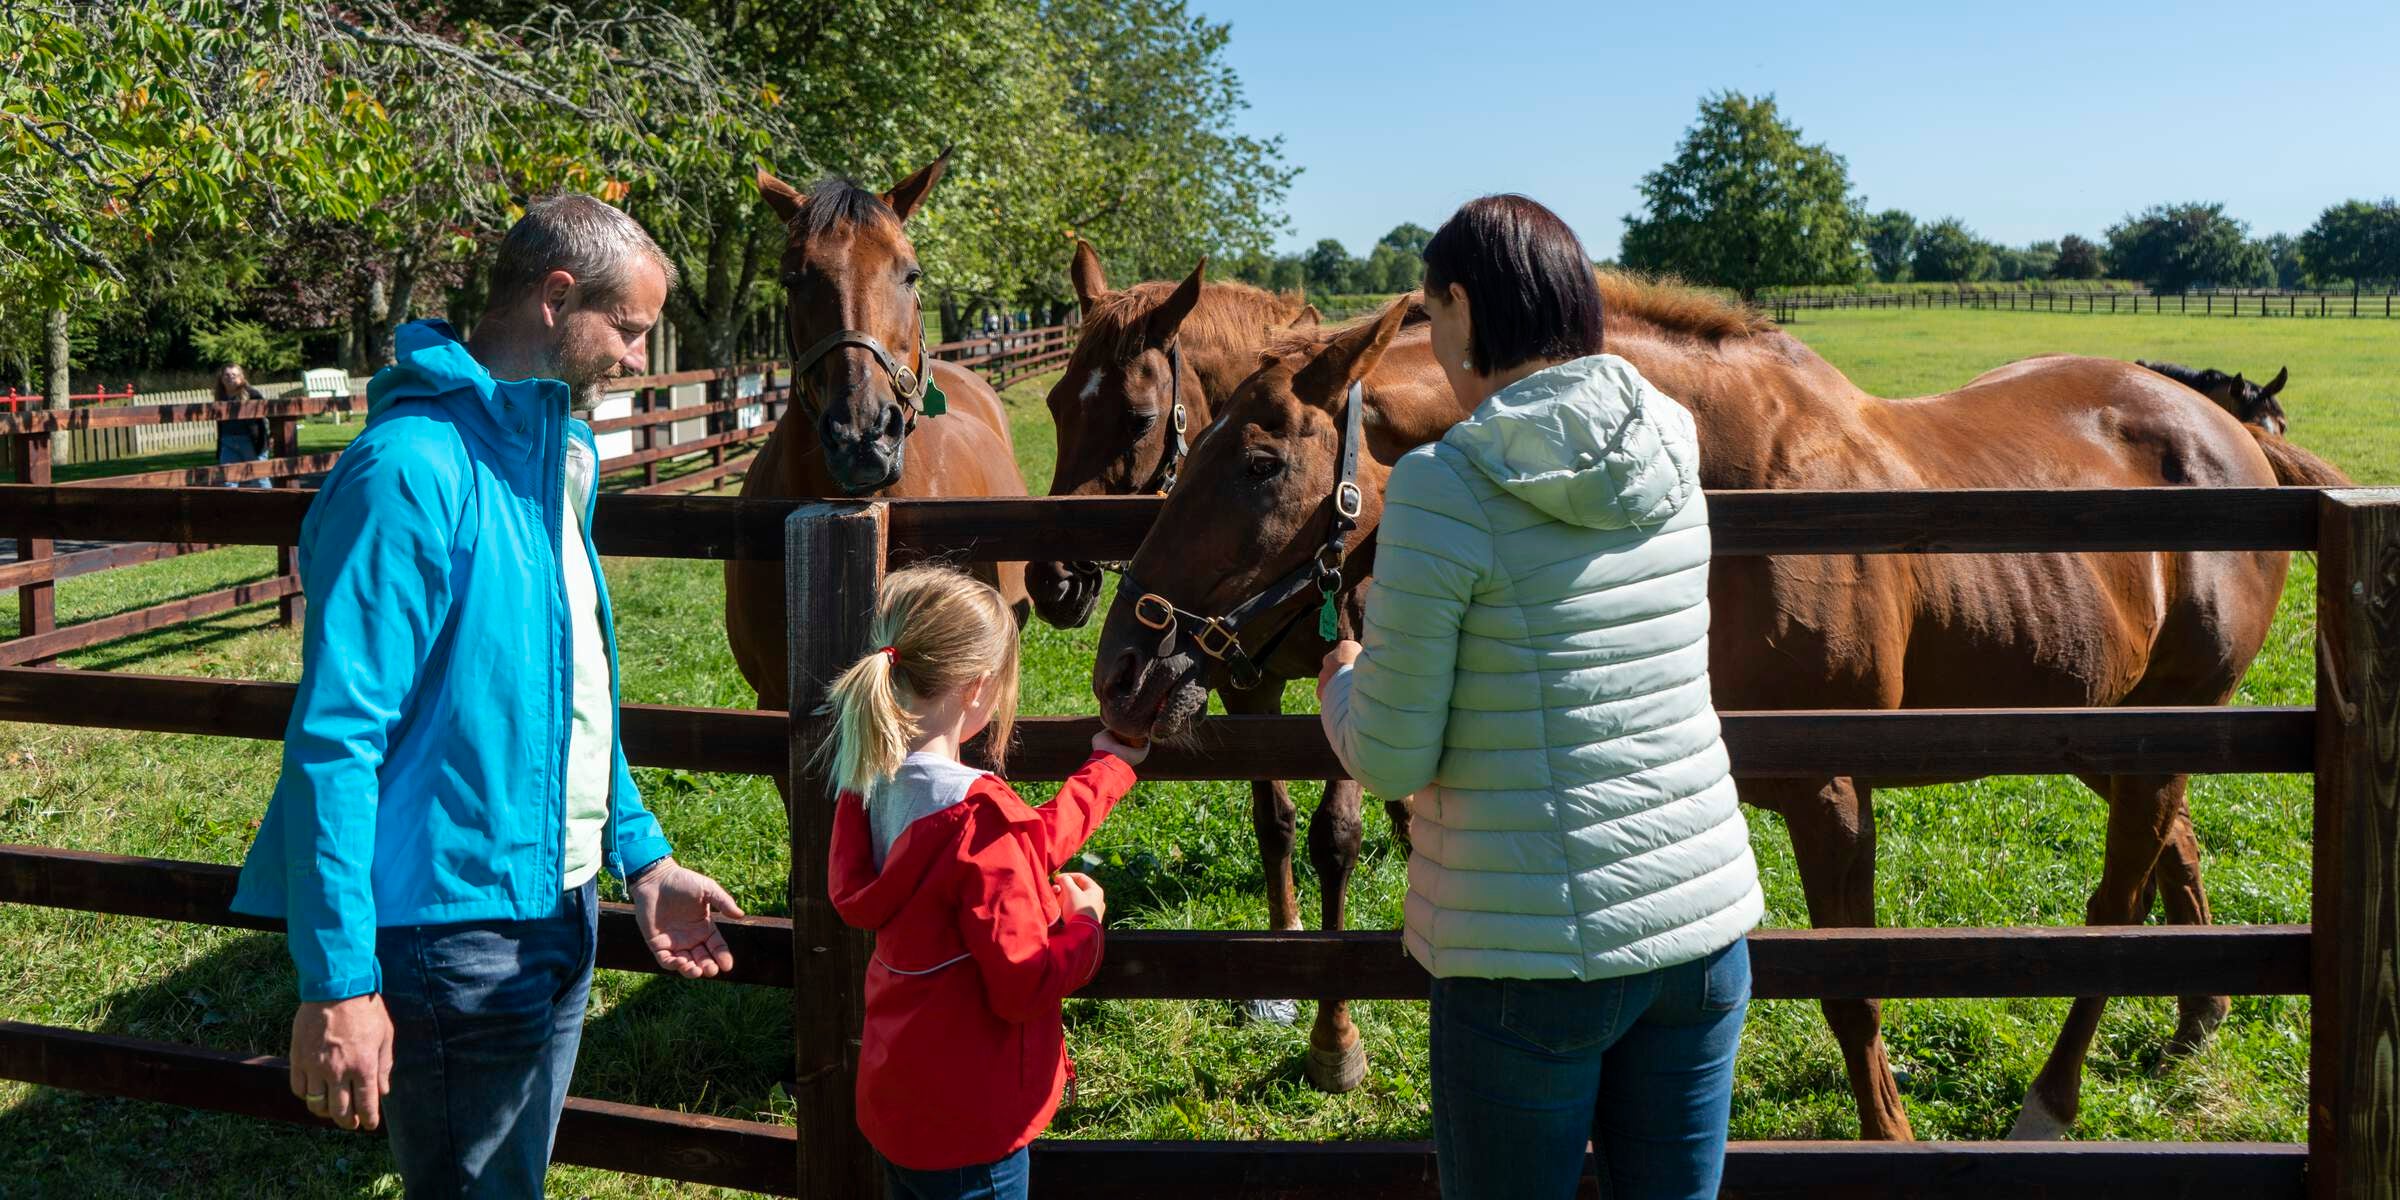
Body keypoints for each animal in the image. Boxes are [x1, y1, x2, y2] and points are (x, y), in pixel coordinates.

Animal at [1089, 279, 2353, 1140]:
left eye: (1258, 462)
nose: (1123, 662)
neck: (1714, 484)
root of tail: (2231, 436)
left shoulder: (1832, 791)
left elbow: (1853, 993)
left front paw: (1890, 1134)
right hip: (2106, 724)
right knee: (2172, 849)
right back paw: (2196, 1021)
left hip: (2159, 723)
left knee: (2116, 894)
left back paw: (2053, 1098)